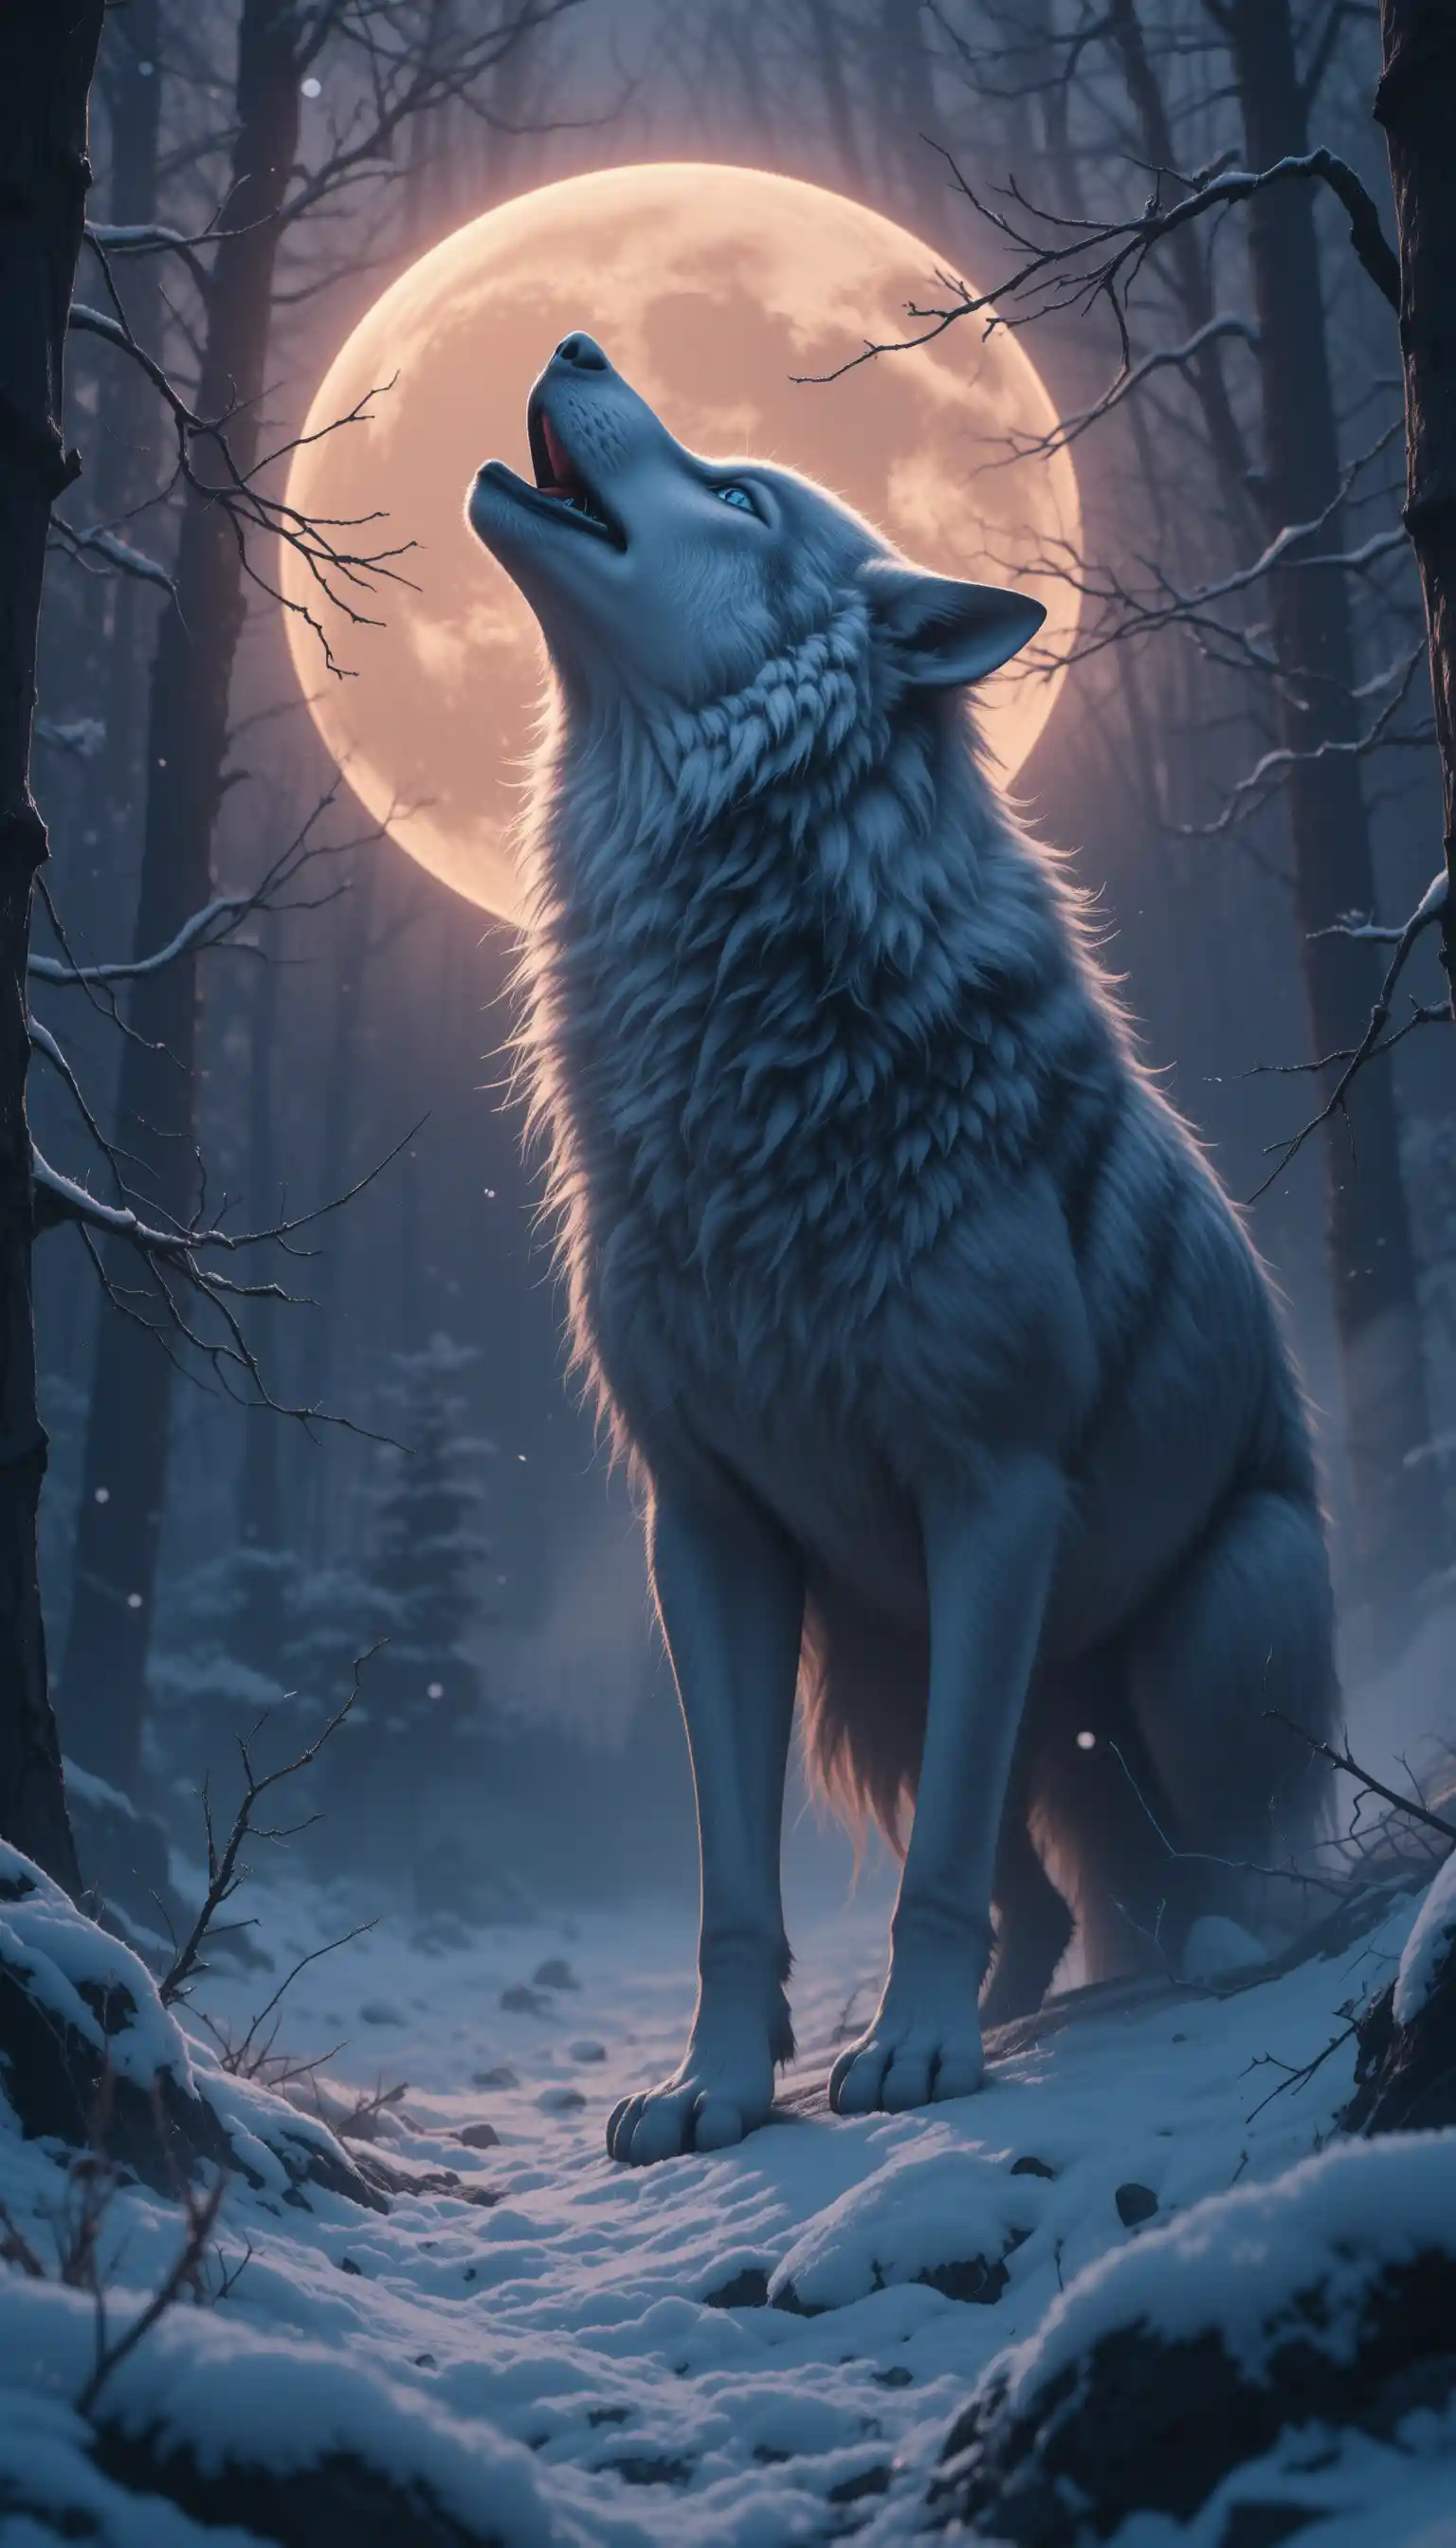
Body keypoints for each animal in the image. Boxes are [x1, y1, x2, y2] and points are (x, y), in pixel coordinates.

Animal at [468, 332, 1337, 2166]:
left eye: (740, 495)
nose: (574, 338)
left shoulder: (995, 1491)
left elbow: (930, 1872)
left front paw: (921, 2057)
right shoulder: (705, 1530)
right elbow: (735, 1883)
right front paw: (722, 2089)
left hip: (1209, 1623)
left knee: (1219, 1868)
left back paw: (1191, 1956)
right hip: (874, 1675)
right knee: (1051, 1894)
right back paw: (1001, 2004)